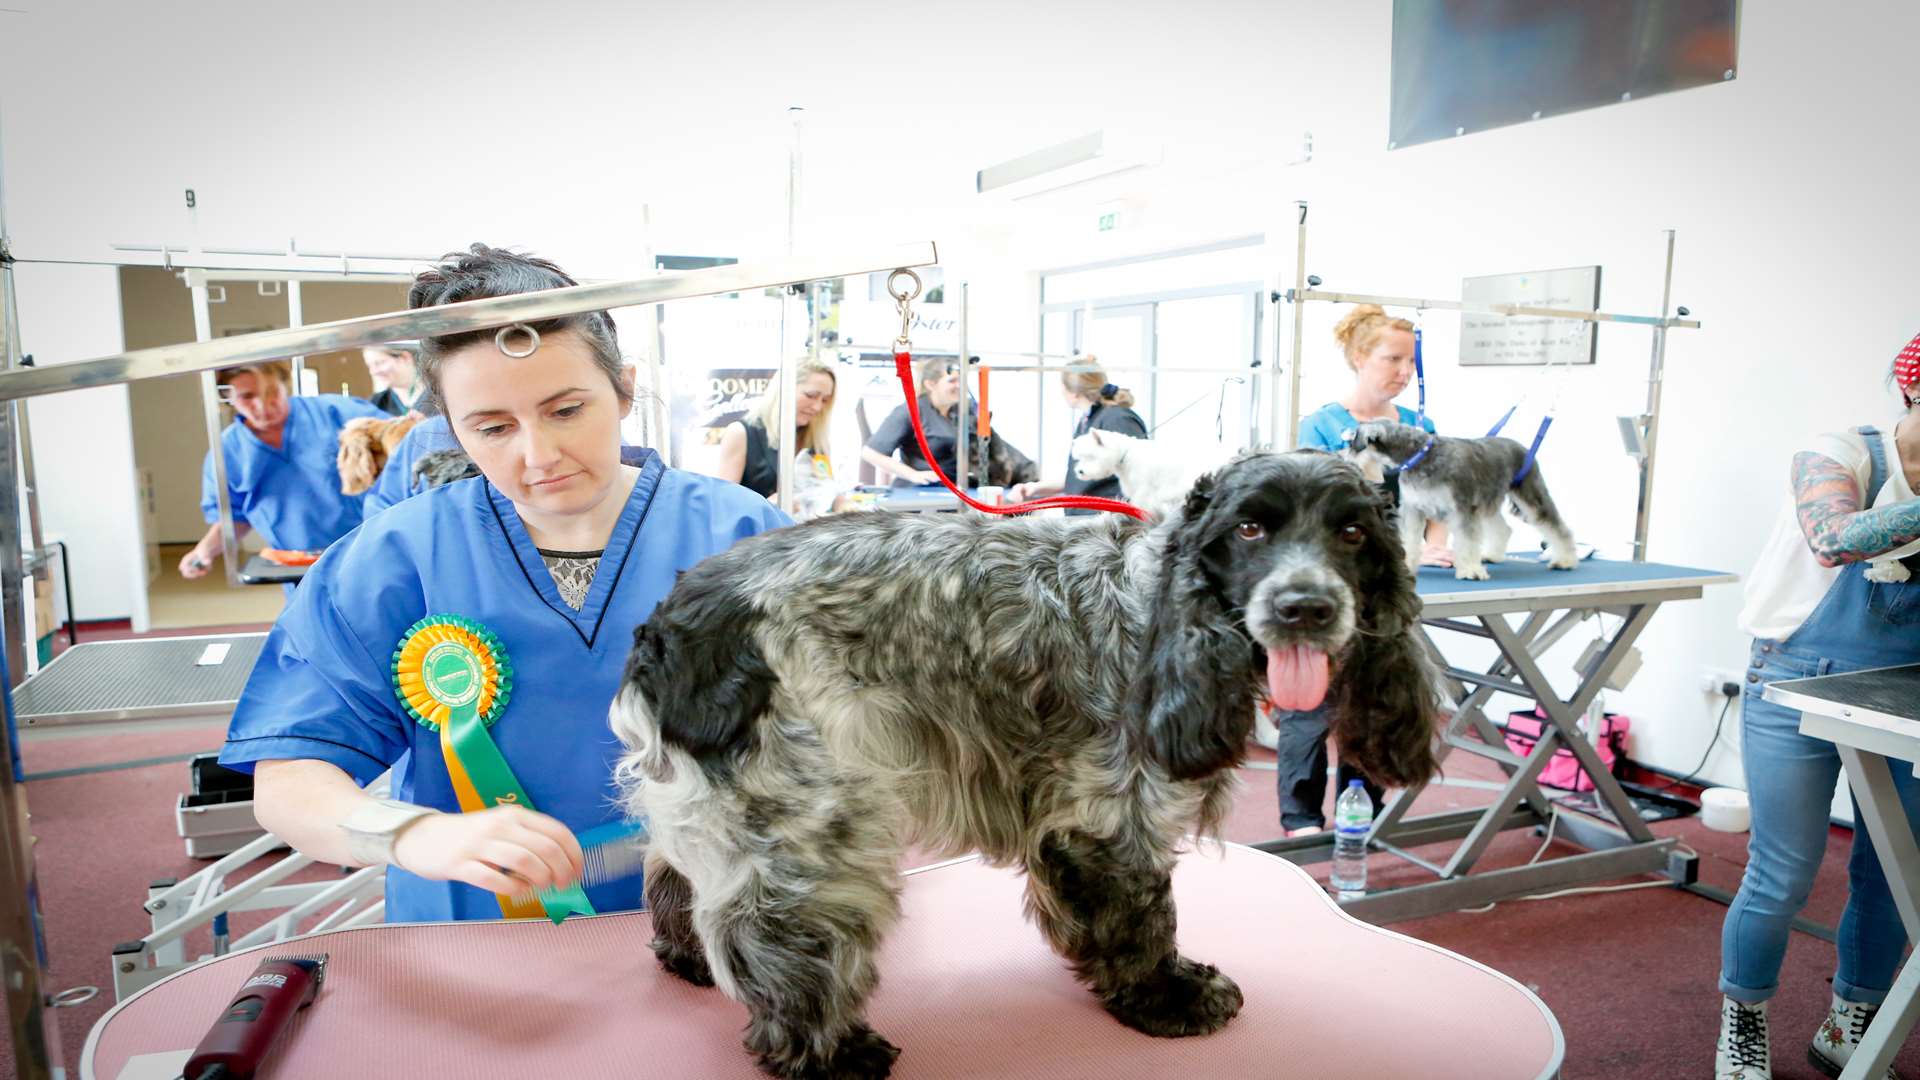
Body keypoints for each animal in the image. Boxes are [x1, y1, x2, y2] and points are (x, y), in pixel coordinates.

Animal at [606, 449, 1436, 1068]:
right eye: (1251, 527)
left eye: (1354, 534)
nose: (1306, 608)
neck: (1163, 603)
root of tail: (671, 623)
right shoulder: (1107, 815)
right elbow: (1144, 916)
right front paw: (1166, 998)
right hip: (817, 812)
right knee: (778, 932)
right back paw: (831, 1050)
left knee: (678, 877)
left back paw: (686, 959)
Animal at [1344, 418, 1582, 580]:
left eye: (1352, 442)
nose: (1342, 458)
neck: (1418, 456)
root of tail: (1523, 448)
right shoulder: (1412, 510)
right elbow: (1409, 541)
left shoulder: (1463, 510)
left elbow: (1467, 542)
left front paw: (1471, 570)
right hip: (1488, 502)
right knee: (1503, 528)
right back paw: (1493, 555)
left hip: (1531, 496)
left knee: (1556, 526)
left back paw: (1565, 560)